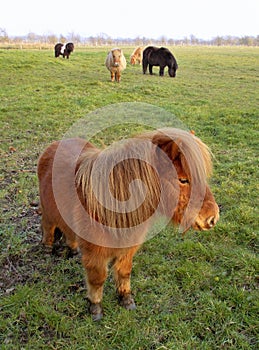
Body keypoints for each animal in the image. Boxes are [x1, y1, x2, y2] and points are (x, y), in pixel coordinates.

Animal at [37, 128, 219, 320]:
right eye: (183, 180)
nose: (212, 218)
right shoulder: (96, 254)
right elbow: (97, 278)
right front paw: (95, 307)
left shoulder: (128, 249)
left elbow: (124, 272)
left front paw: (126, 299)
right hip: (48, 213)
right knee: (48, 227)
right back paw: (47, 249)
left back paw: (72, 250)